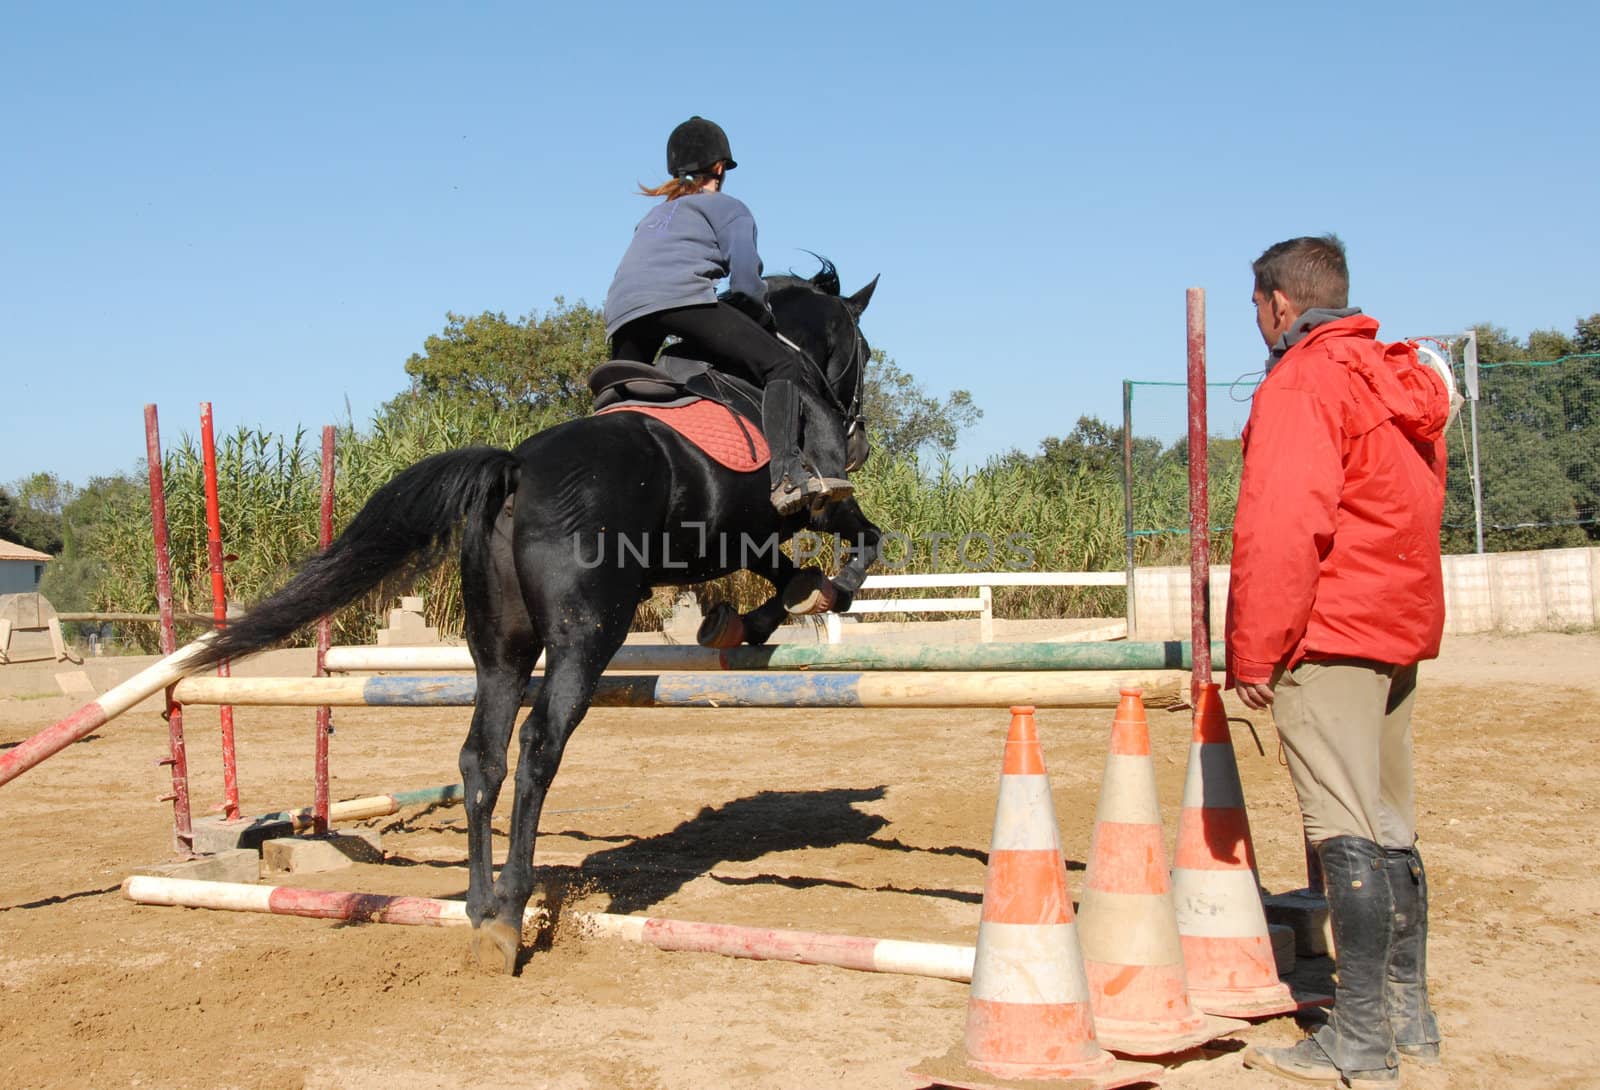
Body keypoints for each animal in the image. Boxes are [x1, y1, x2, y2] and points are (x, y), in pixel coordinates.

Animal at [192, 260, 889, 966]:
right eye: (863, 350)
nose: (857, 440)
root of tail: (516, 467)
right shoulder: (809, 506)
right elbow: (862, 541)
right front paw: (817, 596)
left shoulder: (739, 535)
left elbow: (784, 569)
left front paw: (751, 618)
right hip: (586, 639)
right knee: (538, 746)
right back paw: (511, 907)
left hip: (499, 647)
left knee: (482, 757)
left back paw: (480, 908)